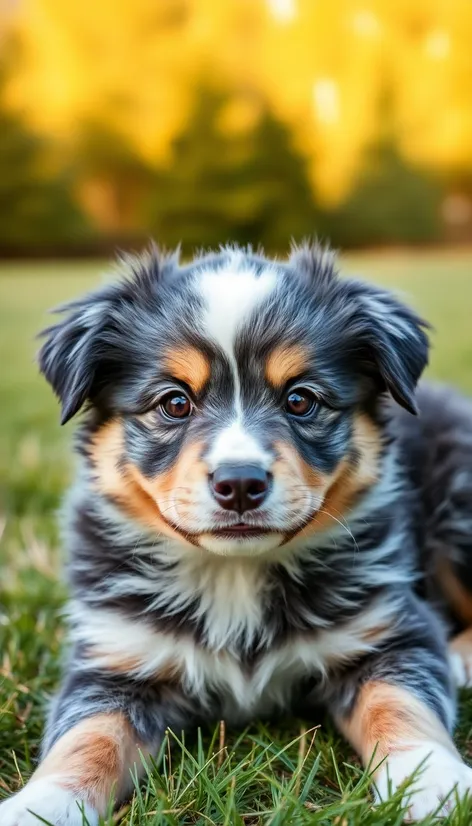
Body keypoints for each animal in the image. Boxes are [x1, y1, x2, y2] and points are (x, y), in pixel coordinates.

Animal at [2, 241, 472, 820]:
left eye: (301, 399)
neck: (235, 573)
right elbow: (87, 735)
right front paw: (41, 804)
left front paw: (434, 782)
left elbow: (402, 703)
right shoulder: (115, 655)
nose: (241, 483)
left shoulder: (391, 630)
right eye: (174, 403)